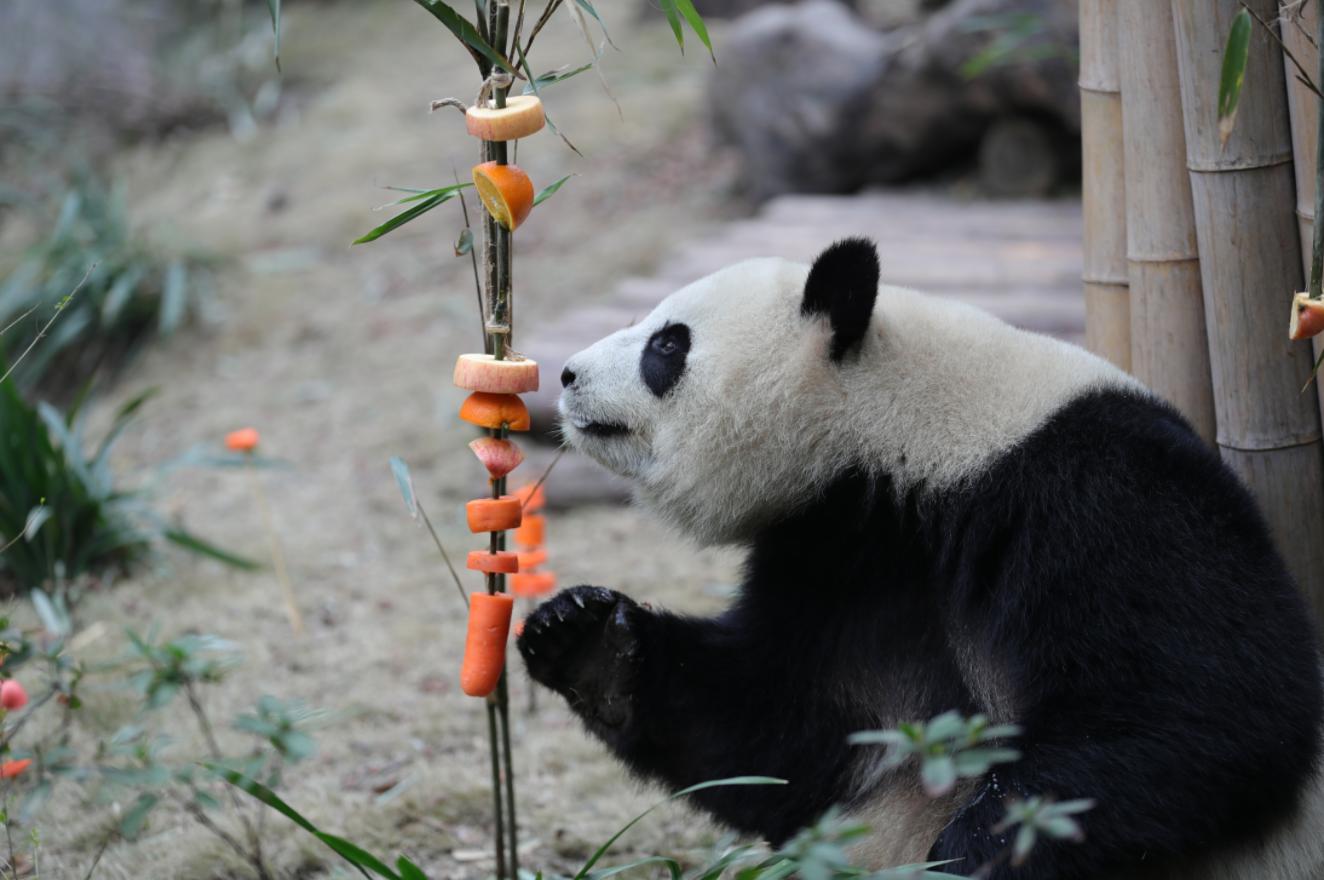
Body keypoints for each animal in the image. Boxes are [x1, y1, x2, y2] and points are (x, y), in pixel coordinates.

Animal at [511, 240, 1324, 878]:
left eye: (667, 345)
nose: (569, 376)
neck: (898, 431)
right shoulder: (845, 559)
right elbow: (782, 734)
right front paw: (586, 639)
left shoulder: (1093, 497)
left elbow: (1201, 707)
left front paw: (971, 854)